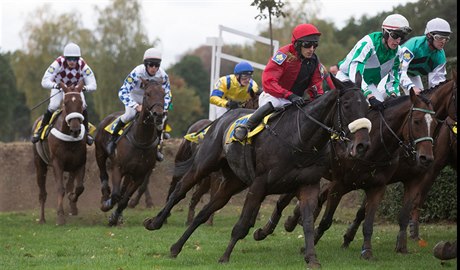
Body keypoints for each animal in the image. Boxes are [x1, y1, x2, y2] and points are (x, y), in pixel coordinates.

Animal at [32, 80, 87, 226]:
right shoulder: (57, 163)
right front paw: (60, 217)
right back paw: (41, 219)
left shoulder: (80, 163)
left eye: (80, 103)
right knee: (42, 193)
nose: (75, 130)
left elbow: (79, 187)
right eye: (66, 103)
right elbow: (60, 189)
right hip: (40, 164)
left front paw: (72, 201)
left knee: (70, 185)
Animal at [94, 77, 164, 226]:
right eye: (147, 94)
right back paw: (104, 197)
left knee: (123, 190)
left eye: (163, 93)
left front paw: (114, 217)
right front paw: (107, 204)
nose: (159, 114)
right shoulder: (117, 167)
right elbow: (115, 195)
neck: (141, 140)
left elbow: (124, 200)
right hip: (100, 153)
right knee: (103, 174)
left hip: (129, 172)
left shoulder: (140, 175)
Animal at [142, 76, 372, 268]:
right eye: (347, 105)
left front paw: (312, 258)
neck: (300, 140)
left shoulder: (308, 185)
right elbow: (242, 225)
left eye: (367, 107)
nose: (363, 145)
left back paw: (176, 247)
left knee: (204, 211)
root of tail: (222, 119)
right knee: (180, 189)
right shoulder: (259, 184)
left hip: (233, 182)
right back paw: (155, 222)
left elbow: (307, 222)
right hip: (204, 164)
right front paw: (225, 256)